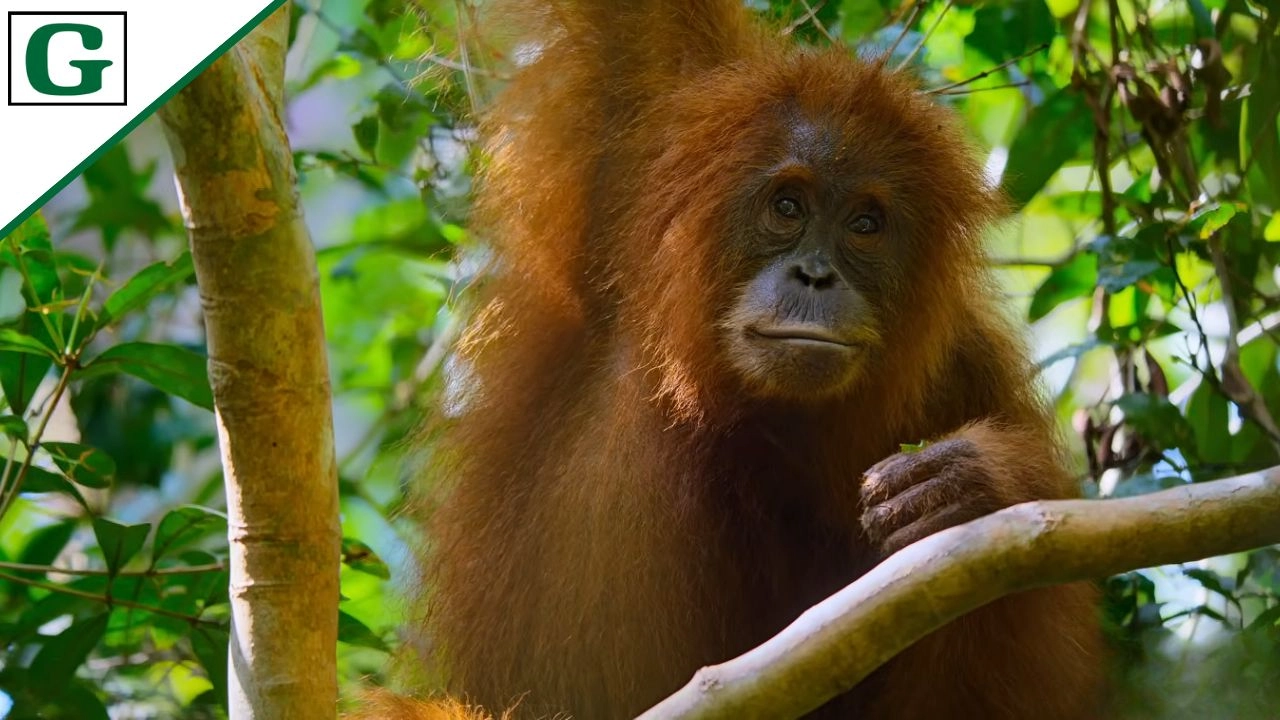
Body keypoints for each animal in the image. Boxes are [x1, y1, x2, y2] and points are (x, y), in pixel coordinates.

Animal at [375, 1, 1105, 718]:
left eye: (865, 223)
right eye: (787, 205)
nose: (815, 276)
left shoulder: (964, 371)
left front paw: (970, 486)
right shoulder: (646, 135)